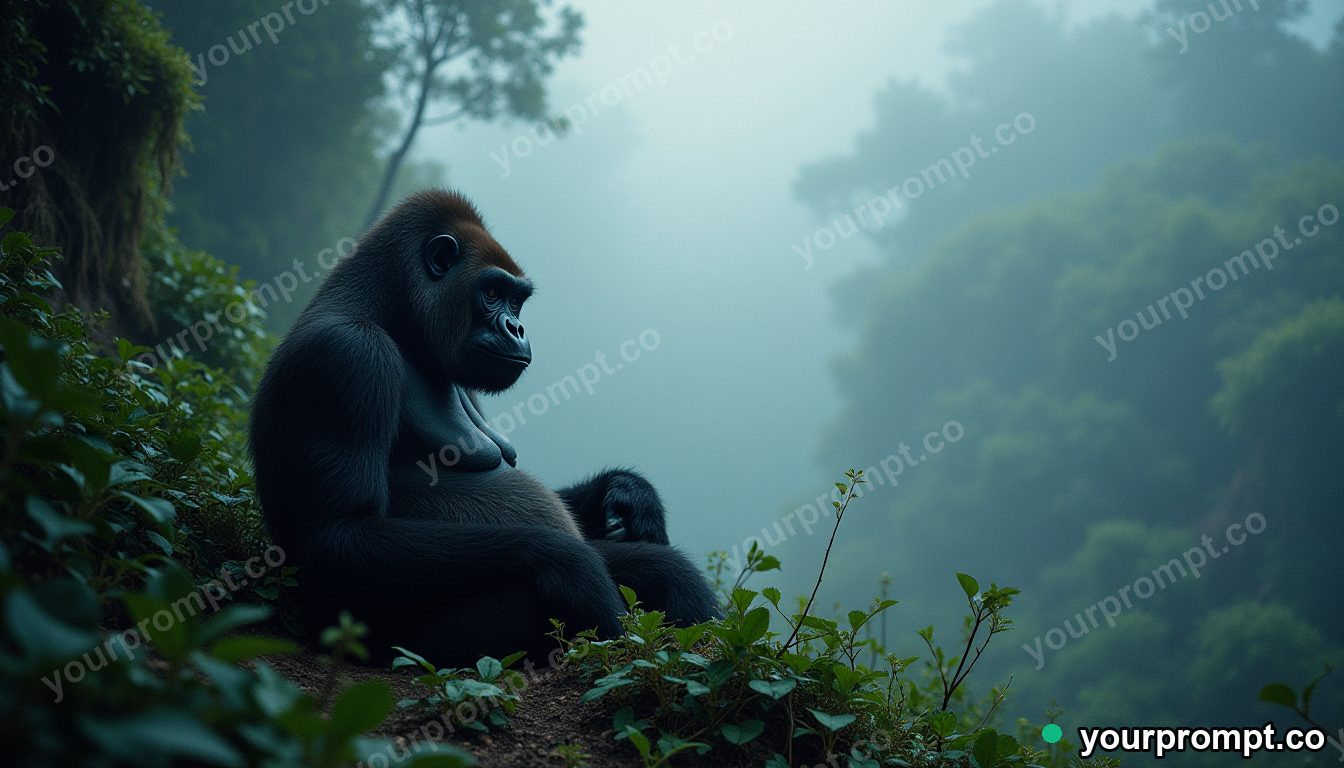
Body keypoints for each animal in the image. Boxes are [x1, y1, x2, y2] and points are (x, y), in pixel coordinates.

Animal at [250, 189, 719, 664]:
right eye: (492, 293)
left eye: (516, 301)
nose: (517, 328)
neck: (388, 315)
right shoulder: (347, 357)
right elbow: (340, 538)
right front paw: (568, 561)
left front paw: (628, 494)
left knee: (666, 568)